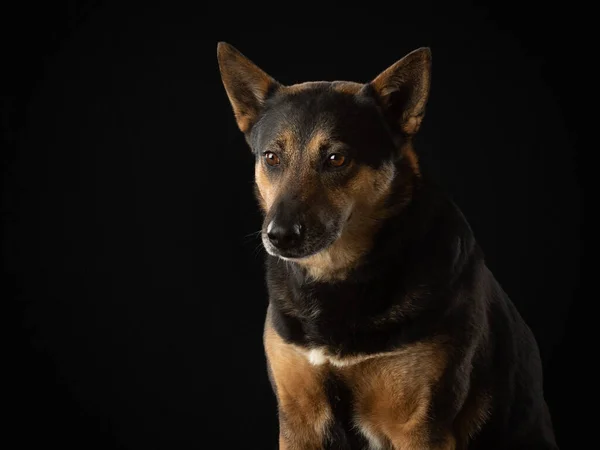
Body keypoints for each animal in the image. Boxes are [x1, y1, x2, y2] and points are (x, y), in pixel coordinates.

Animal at [214, 40, 556, 448]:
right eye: (271, 157)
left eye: (336, 158)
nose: (278, 235)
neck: (338, 282)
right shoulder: (299, 421)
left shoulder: (420, 428)